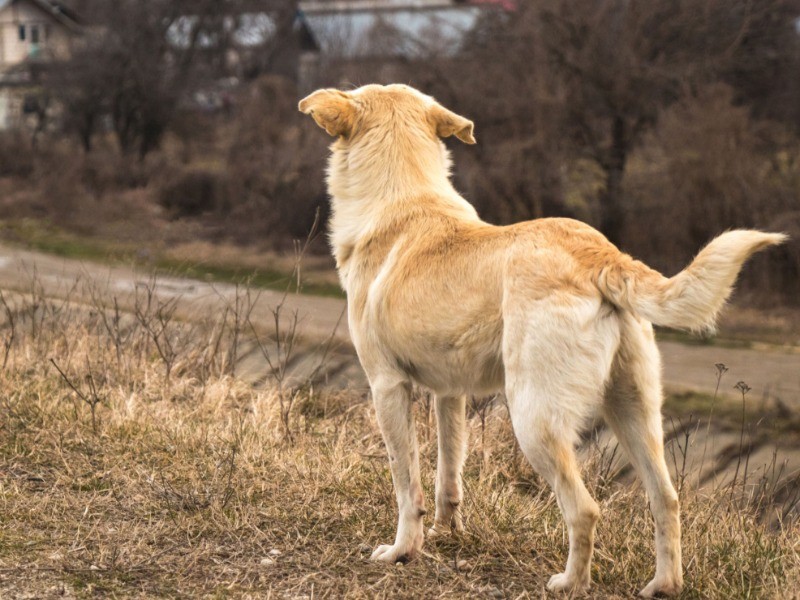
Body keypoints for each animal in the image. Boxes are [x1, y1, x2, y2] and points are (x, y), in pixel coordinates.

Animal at [296, 83, 784, 596]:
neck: (403, 195)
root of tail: (601, 256)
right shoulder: (450, 394)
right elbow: (448, 473)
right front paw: (447, 533)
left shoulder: (387, 387)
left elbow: (405, 482)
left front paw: (402, 551)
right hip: (634, 411)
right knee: (665, 499)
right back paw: (663, 585)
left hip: (533, 420)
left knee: (584, 509)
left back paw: (569, 583)